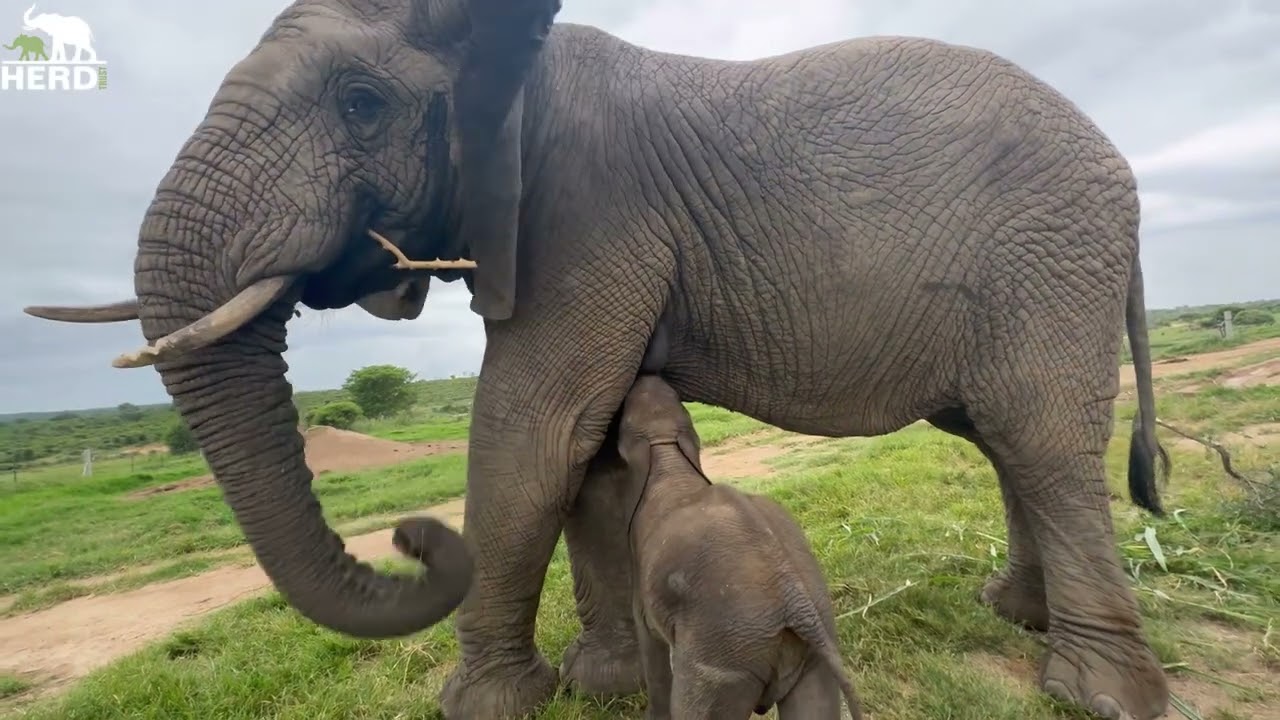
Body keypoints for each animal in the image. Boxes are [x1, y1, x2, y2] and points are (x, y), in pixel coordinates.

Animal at [616, 374, 863, 720]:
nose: (645, 375)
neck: (665, 447)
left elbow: (650, 642)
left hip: (722, 658)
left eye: (623, 414)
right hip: (813, 647)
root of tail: (794, 599)